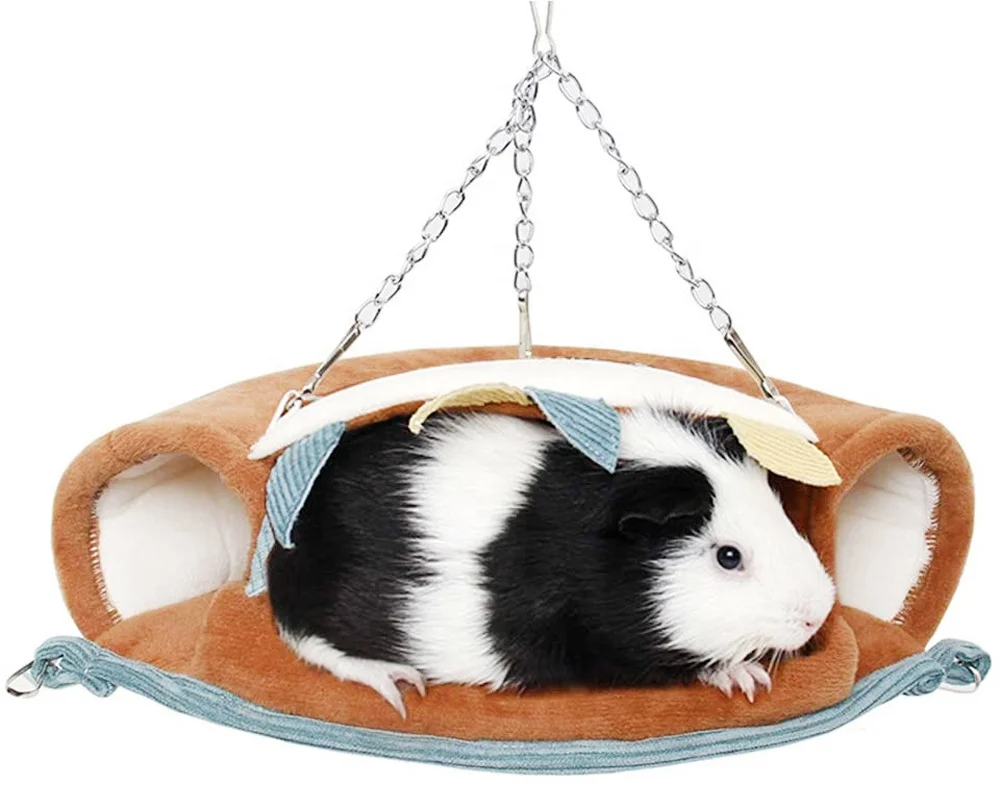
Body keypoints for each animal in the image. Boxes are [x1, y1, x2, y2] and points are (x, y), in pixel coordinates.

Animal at [268, 407, 836, 717]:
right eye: (728, 556)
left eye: (780, 510)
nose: (819, 613)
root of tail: (281, 549)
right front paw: (746, 678)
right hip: (317, 616)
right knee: (313, 646)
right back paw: (401, 685)